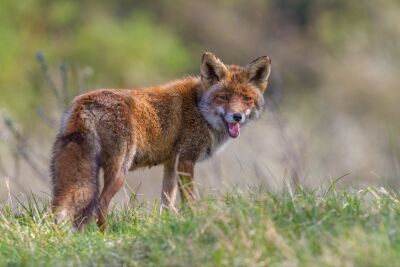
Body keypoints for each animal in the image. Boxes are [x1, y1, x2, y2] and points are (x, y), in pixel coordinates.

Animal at [49, 52, 268, 230]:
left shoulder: (171, 164)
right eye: (223, 97)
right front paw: (194, 220)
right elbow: (189, 200)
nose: (237, 116)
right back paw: (105, 235)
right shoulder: (186, 159)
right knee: (100, 204)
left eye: (246, 98)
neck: (199, 108)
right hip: (120, 171)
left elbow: (167, 203)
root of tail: (84, 103)